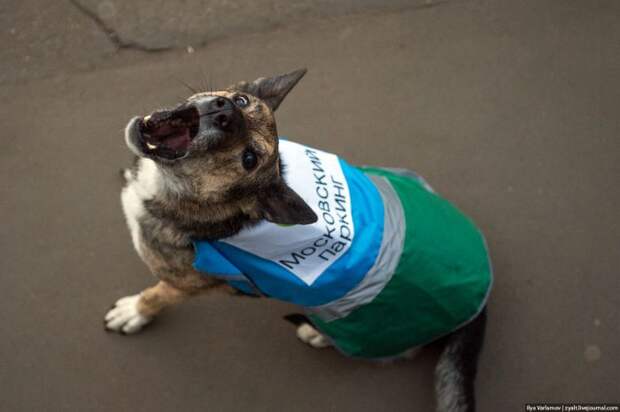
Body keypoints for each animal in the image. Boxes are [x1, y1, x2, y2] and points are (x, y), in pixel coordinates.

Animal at [108, 69, 494, 410]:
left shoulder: (183, 284)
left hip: (362, 324)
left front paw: (135, 312)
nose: (224, 110)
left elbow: (157, 296)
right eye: (241, 100)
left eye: (249, 158)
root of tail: (483, 299)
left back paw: (317, 334)